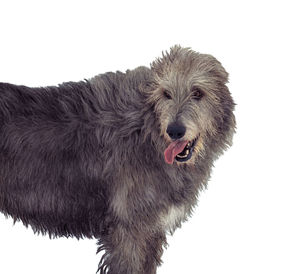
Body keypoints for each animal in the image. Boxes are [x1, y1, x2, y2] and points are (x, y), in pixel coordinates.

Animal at [0, 46, 234, 272]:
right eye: (166, 93)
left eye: (198, 92)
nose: (175, 131)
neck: (145, 130)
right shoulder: (129, 230)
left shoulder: (150, 231)